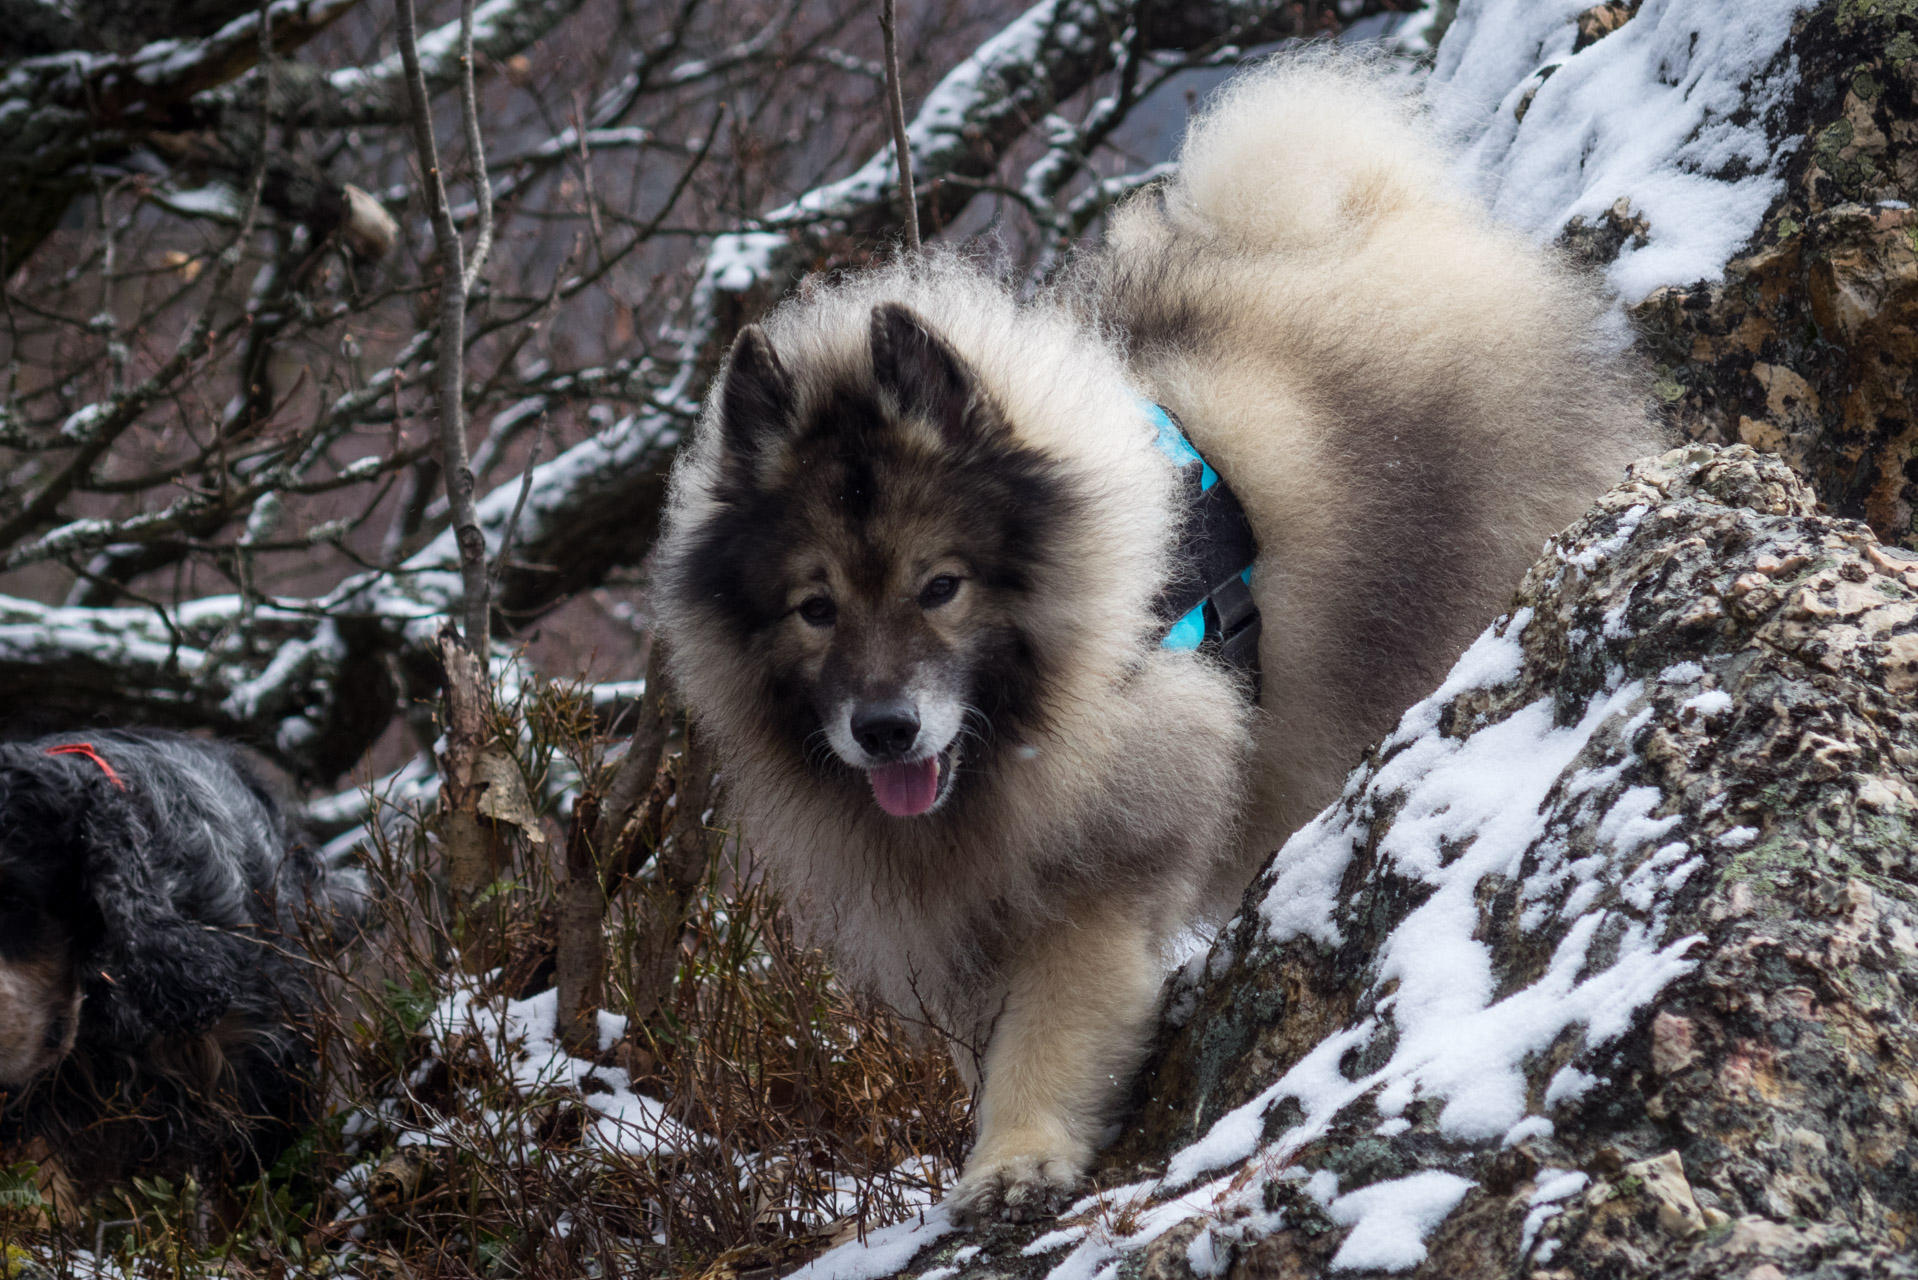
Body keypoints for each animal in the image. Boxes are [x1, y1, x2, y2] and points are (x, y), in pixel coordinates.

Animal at [652, 55, 1657, 1228]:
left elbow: (1047, 1034)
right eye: (815, 607)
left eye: (940, 587)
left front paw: (1018, 1158)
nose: (885, 729)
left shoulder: (1096, 871)